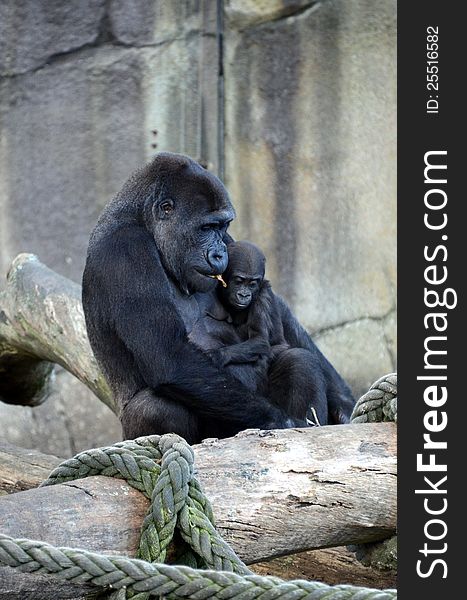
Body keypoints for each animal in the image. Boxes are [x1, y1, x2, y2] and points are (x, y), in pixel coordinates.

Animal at [83, 152, 354, 442]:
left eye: (221, 226)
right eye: (207, 227)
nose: (218, 253)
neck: (142, 220)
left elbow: (273, 304)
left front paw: (343, 402)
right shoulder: (126, 251)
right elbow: (169, 355)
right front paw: (284, 422)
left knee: (300, 361)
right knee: (156, 407)